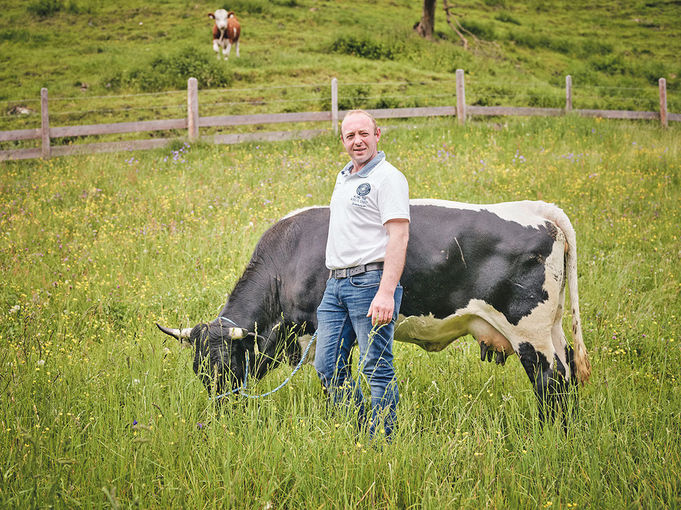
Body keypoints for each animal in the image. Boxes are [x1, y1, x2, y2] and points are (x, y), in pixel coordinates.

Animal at [158, 201, 588, 424]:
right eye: (200, 370)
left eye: (225, 366)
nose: (219, 415)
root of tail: (538, 210)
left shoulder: (329, 332)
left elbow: (336, 382)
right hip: (553, 327)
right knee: (568, 369)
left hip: (529, 330)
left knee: (550, 378)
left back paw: (549, 429)